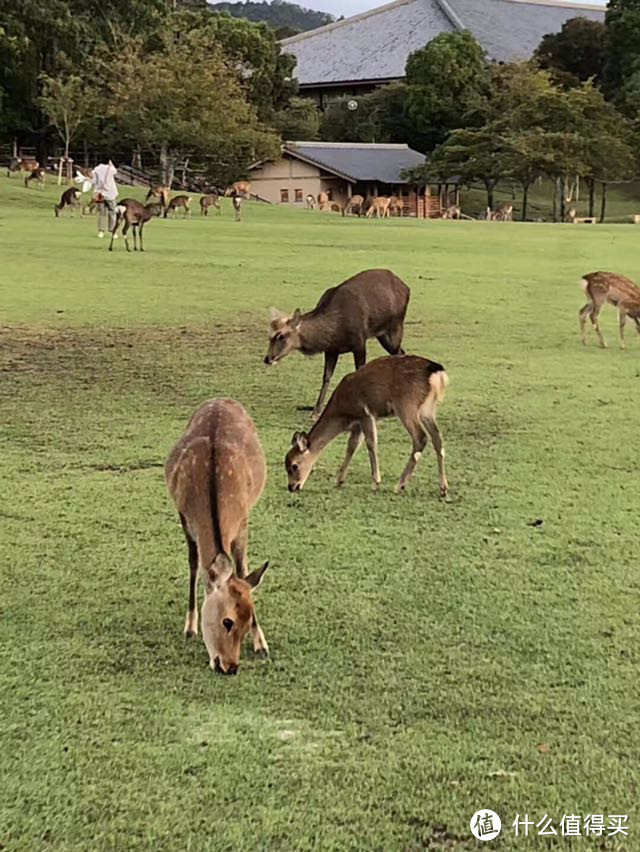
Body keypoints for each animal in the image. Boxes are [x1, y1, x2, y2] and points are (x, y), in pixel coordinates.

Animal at [165, 396, 270, 676]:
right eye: (227, 621)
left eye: (248, 621)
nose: (230, 667)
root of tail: (221, 399)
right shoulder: (184, 516)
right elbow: (194, 564)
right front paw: (189, 627)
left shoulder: (243, 520)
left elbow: (243, 571)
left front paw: (262, 644)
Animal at [264, 266, 410, 420]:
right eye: (269, 335)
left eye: (281, 336)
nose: (267, 358)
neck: (335, 329)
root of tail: (406, 287)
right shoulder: (331, 349)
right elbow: (326, 376)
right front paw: (316, 412)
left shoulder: (359, 341)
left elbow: (359, 371)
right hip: (382, 335)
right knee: (401, 352)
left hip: (395, 327)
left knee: (399, 352)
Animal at [286, 352, 450, 500]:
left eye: (294, 465)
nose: (292, 487)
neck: (342, 412)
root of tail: (436, 372)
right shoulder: (357, 423)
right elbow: (352, 446)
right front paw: (339, 481)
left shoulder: (365, 414)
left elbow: (371, 443)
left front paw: (375, 483)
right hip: (427, 409)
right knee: (438, 438)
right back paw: (443, 489)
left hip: (407, 405)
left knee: (420, 437)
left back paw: (399, 486)